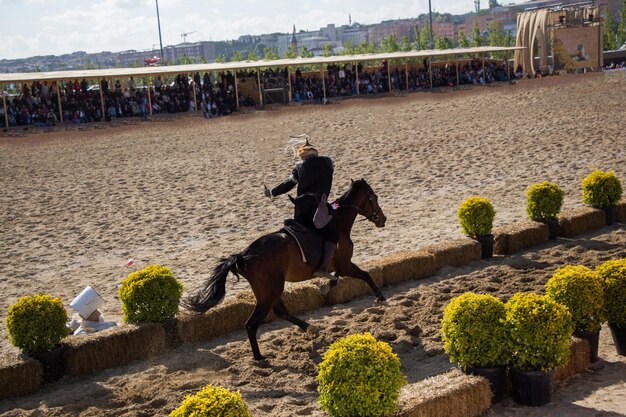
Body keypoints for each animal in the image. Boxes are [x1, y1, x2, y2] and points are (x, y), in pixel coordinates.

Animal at [180, 177, 386, 360]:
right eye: (373, 197)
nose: (382, 219)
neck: (338, 222)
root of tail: (243, 254)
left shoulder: (340, 266)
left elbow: (335, 278)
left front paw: (325, 287)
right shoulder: (345, 264)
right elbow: (364, 275)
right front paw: (380, 296)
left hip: (270, 289)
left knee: (279, 312)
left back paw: (309, 327)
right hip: (270, 290)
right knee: (251, 324)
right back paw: (259, 357)